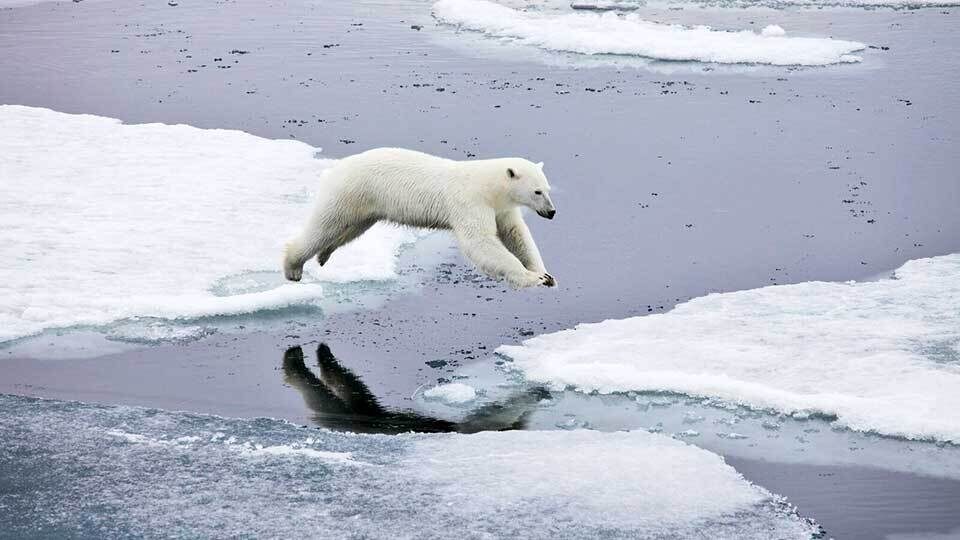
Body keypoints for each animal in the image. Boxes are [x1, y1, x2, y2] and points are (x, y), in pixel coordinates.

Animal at [284, 148, 556, 288]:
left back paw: (324, 254)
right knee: (325, 225)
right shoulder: (470, 202)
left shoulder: (501, 208)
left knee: (351, 228)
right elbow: (480, 242)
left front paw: (546, 274)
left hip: (366, 204)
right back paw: (293, 267)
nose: (552, 212)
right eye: (537, 191)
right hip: (350, 191)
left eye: (548, 189)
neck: (488, 186)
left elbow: (516, 234)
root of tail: (335, 168)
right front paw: (532, 278)